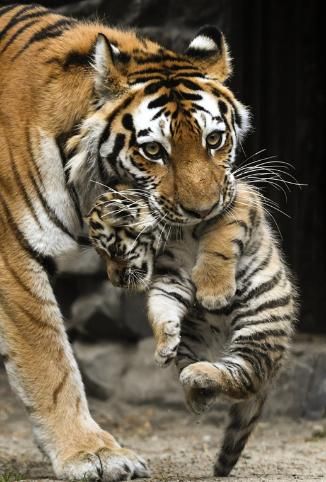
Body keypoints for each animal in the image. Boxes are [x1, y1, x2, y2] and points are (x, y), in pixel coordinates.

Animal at [0, 2, 248, 478]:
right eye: (153, 152)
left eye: (214, 140)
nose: (205, 210)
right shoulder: (11, 255)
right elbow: (49, 360)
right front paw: (92, 454)